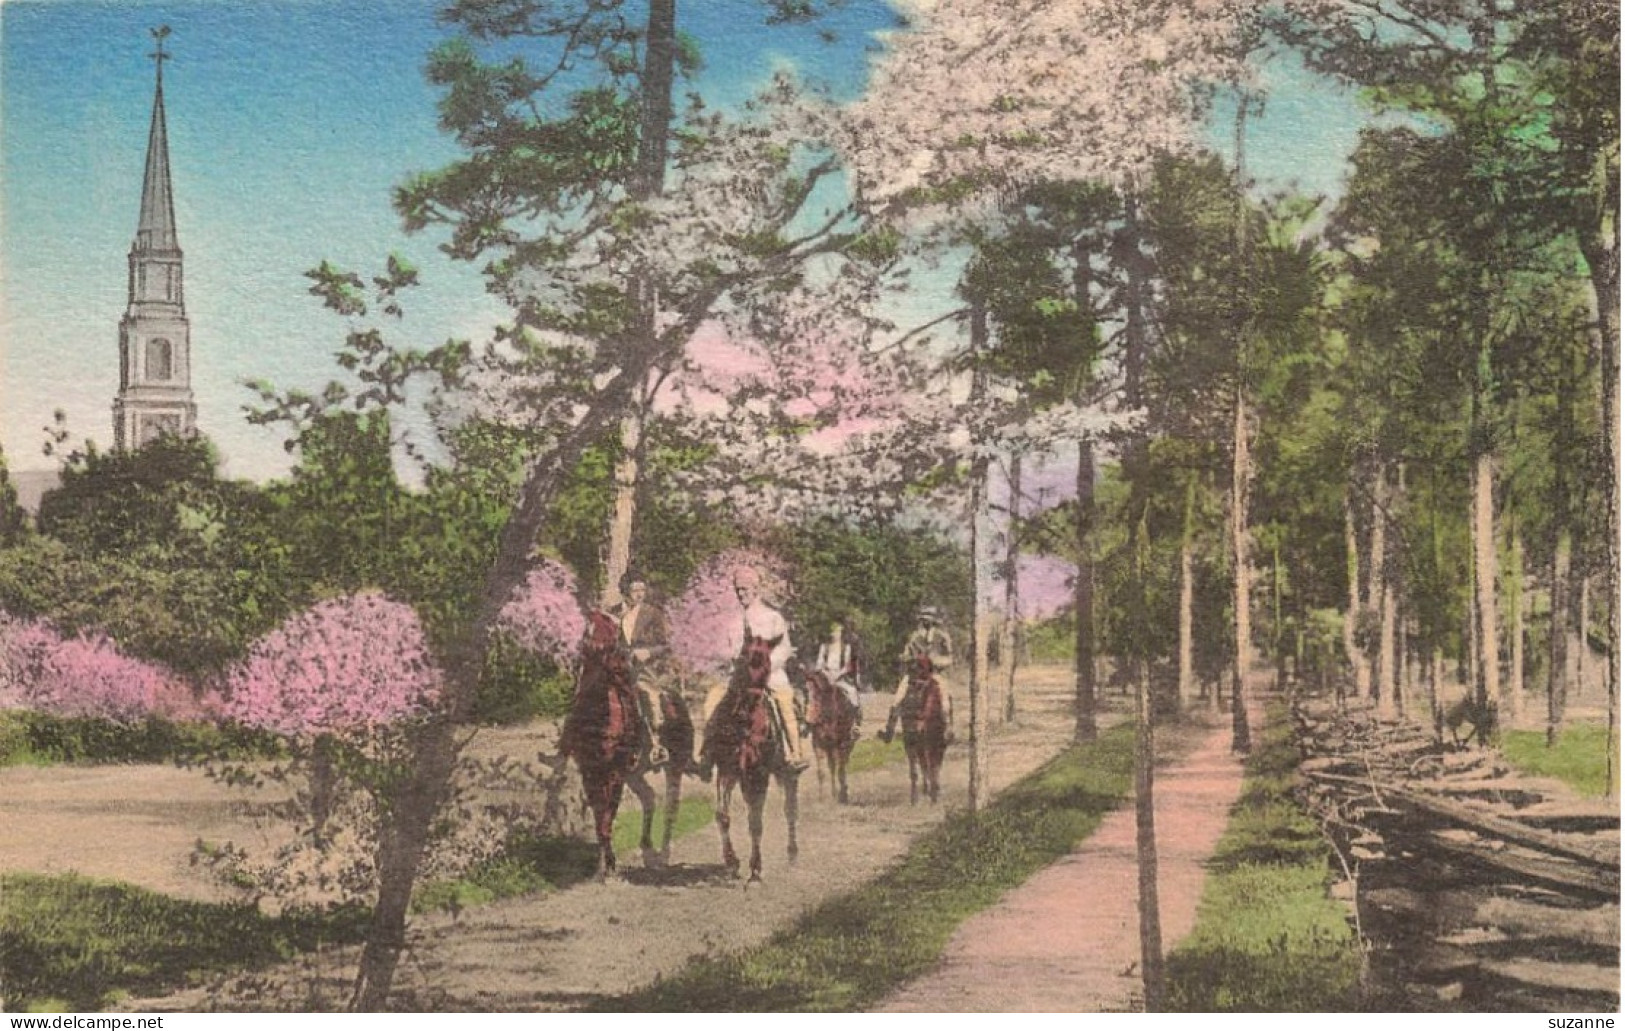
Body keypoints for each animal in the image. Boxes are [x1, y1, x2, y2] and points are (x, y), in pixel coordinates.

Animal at [559, 611, 692, 878]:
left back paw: (663, 856)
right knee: (649, 798)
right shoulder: (590, 771)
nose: (592, 651)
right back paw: (648, 852)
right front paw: (601, 865)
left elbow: (608, 815)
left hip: (674, 767)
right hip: (636, 774)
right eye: (587, 628)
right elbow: (599, 815)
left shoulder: (615, 772)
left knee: (671, 807)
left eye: (612, 632)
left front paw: (610, 865)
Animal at [705, 634, 799, 878]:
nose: (747, 706)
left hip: (787, 774)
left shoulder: (759, 774)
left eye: (767, 667)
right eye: (742, 660)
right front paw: (731, 861)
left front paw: (755, 868)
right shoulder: (727, 770)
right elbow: (722, 815)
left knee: (790, 809)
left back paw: (792, 853)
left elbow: (756, 821)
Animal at [802, 666, 858, 803]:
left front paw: (841, 796)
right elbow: (821, 772)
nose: (809, 720)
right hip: (829, 747)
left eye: (818, 693)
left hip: (847, 744)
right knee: (833, 766)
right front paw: (822, 798)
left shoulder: (840, 744)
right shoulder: (818, 744)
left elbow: (840, 770)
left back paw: (843, 793)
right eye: (805, 692)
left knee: (843, 765)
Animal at [897, 650, 949, 803]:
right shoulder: (910, 742)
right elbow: (915, 770)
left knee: (934, 764)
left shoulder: (934, 741)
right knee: (924, 764)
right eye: (910, 683)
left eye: (924, 685)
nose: (909, 712)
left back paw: (934, 790)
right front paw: (914, 798)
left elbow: (934, 766)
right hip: (921, 744)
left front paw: (934, 795)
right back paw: (926, 790)